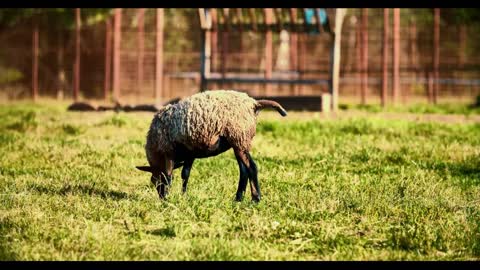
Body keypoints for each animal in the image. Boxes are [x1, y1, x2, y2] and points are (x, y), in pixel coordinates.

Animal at [135, 89, 286, 201]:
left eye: (154, 181)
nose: (161, 198)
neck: (155, 150)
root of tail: (253, 103)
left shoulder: (168, 152)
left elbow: (168, 175)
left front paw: (169, 198)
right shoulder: (190, 153)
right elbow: (185, 174)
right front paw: (183, 195)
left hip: (239, 137)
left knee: (252, 167)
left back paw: (255, 198)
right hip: (238, 142)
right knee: (243, 171)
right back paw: (238, 199)